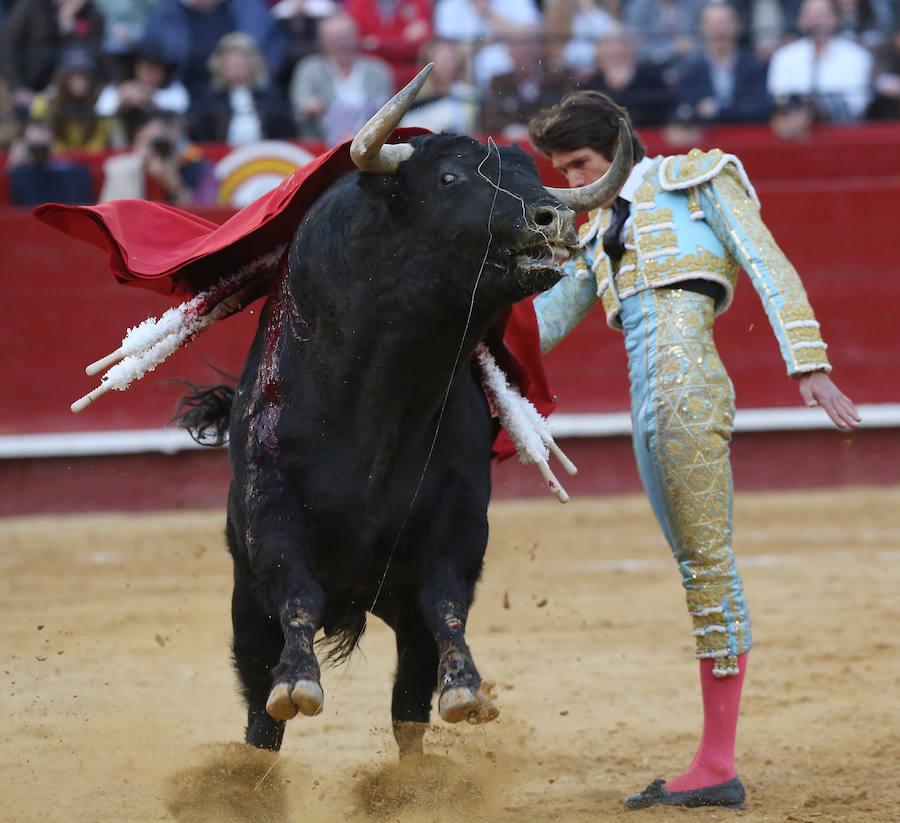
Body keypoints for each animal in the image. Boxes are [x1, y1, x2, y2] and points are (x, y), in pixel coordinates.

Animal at [180, 135, 588, 760]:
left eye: (532, 173)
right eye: (448, 179)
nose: (555, 216)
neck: (380, 400)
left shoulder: (460, 520)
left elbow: (448, 601)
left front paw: (466, 688)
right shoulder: (270, 509)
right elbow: (296, 591)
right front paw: (297, 681)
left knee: (408, 707)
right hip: (246, 607)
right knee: (259, 714)